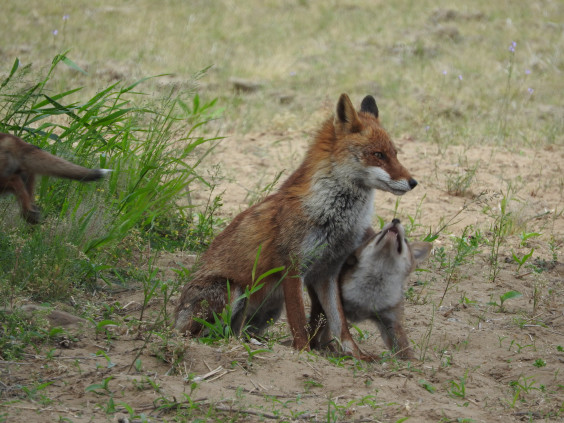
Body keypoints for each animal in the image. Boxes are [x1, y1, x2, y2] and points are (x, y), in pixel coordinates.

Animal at [176, 93, 418, 362]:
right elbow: (300, 321)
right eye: (378, 154)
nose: (413, 182)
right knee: (200, 335)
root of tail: (171, 318)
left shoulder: (328, 271)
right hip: (231, 291)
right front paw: (303, 353)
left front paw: (357, 355)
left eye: (395, 154)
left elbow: (340, 323)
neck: (334, 217)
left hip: (270, 309)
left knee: (235, 331)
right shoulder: (292, 267)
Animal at [308, 220, 432, 360]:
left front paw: (412, 362)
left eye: (405, 240)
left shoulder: (390, 320)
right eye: (379, 233)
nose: (396, 220)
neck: (369, 295)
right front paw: (311, 346)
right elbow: (321, 327)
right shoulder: (333, 303)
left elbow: (404, 348)